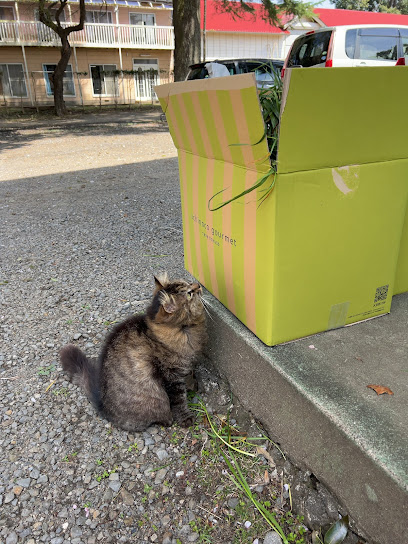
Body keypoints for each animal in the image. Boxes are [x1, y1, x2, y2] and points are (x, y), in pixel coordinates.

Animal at [59, 274, 207, 432]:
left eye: (188, 283)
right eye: (189, 293)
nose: (198, 285)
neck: (184, 330)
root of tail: (102, 405)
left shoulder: (186, 366)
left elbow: (189, 377)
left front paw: (194, 386)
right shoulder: (172, 376)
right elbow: (179, 400)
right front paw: (186, 418)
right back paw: (166, 420)